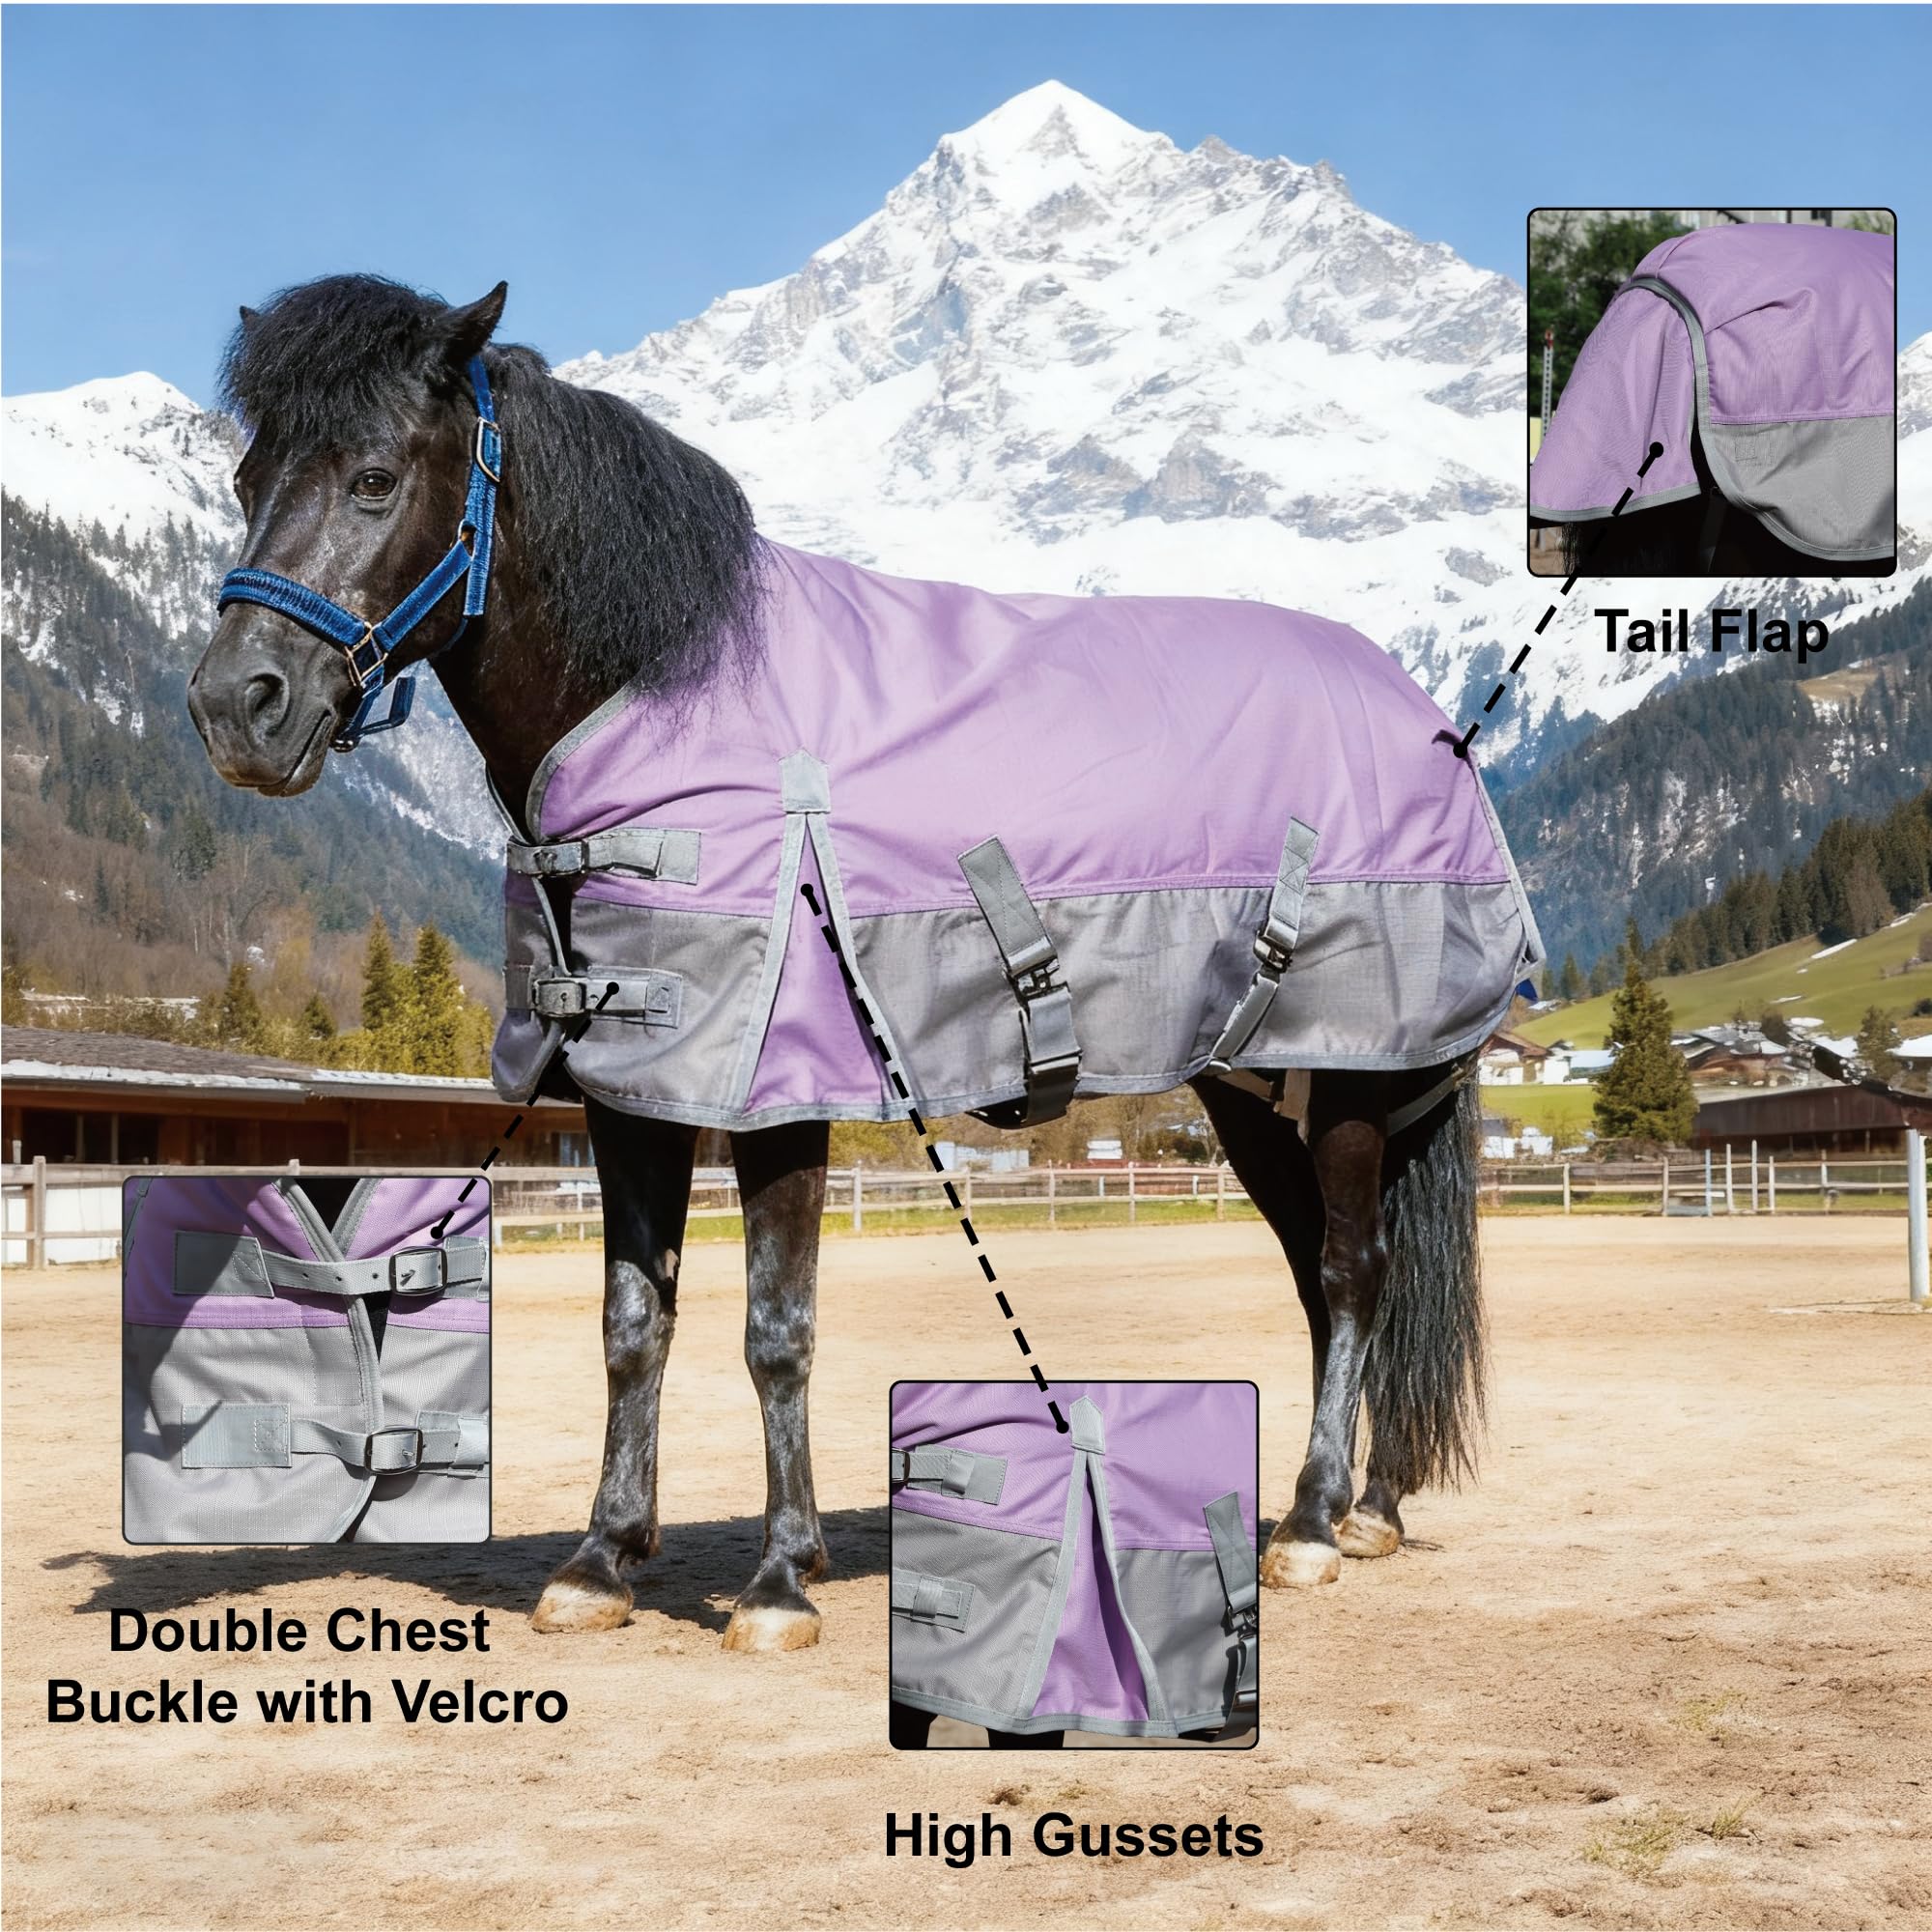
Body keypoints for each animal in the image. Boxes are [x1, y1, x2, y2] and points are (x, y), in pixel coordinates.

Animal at [189, 274, 1501, 1654]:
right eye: (246, 475)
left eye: (375, 478)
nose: (235, 706)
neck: (667, 685)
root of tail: (1428, 720)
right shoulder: (632, 1087)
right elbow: (633, 1323)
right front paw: (601, 1561)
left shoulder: (780, 1092)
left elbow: (777, 1329)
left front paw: (777, 1580)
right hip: (1246, 1086)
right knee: (1321, 1274)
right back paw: (1367, 1506)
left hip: (1350, 1073)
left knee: (1353, 1274)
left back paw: (1310, 1524)